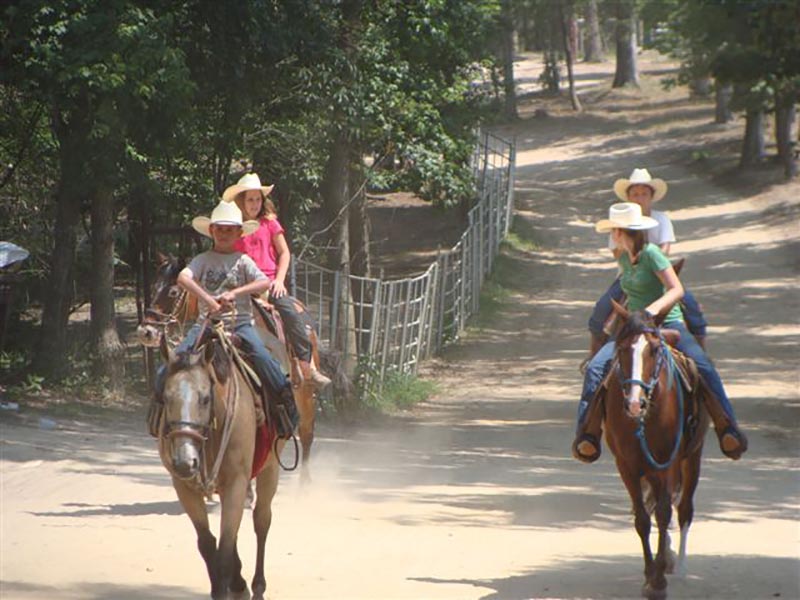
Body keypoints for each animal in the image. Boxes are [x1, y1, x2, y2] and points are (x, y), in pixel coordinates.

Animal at [155, 328, 282, 600]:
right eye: (166, 398)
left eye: (205, 399)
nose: (185, 461)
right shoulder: (184, 487)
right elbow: (208, 543)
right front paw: (228, 584)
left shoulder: (236, 482)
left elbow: (224, 550)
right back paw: (239, 581)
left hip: (270, 470)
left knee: (261, 521)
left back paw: (257, 586)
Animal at [592, 304, 708, 600]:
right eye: (622, 348)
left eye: (654, 349)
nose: (635, 403)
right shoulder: (627, 466)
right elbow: (643, 518)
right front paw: (650, 575)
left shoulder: (667, 462)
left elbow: (664, 512)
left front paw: (658, 583)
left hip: (691, 458)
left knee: (684, 508)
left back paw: (680, 565)